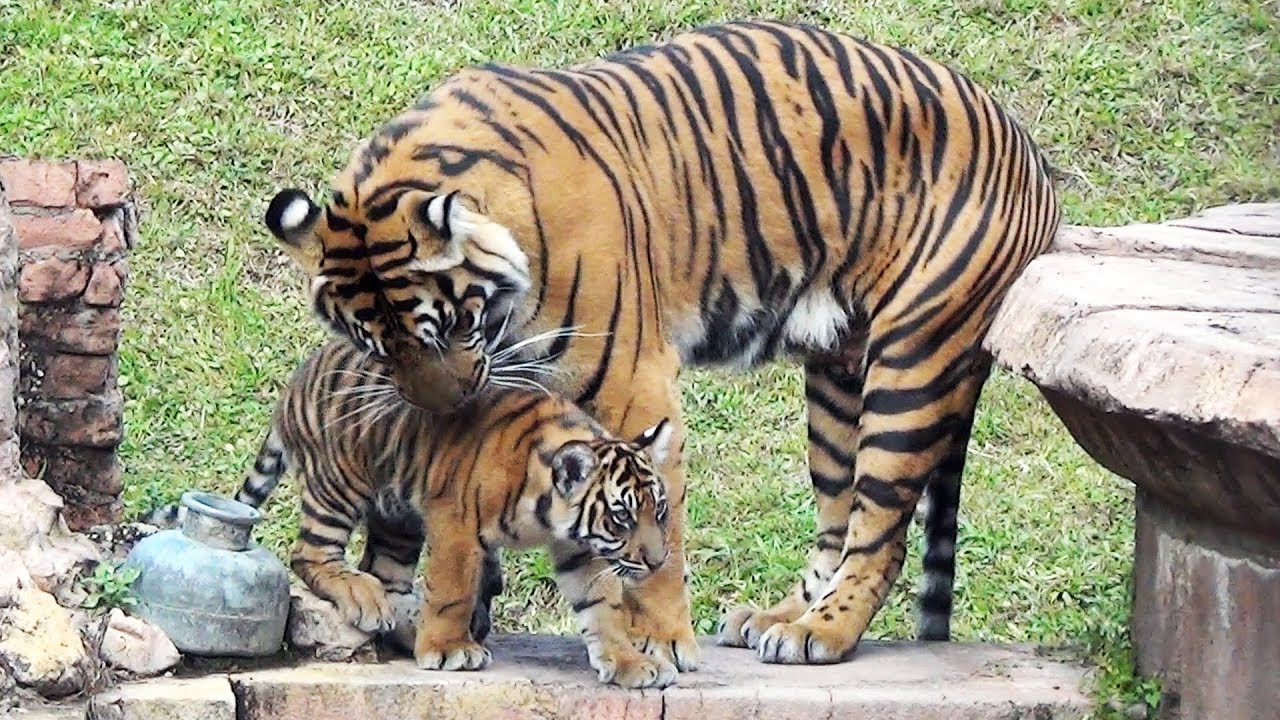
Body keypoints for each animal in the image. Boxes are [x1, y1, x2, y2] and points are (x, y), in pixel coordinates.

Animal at [261, 18, 1062, 670]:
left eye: (450, 325)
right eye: (376, 345)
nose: (442, 411)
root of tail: (1031, 152)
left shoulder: (632, 386)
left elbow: (658, 532)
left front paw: (661, 640)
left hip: (912, 364)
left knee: (882, 531)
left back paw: (822, 635)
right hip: (839, 378)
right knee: (839, 517)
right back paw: (779, 620)